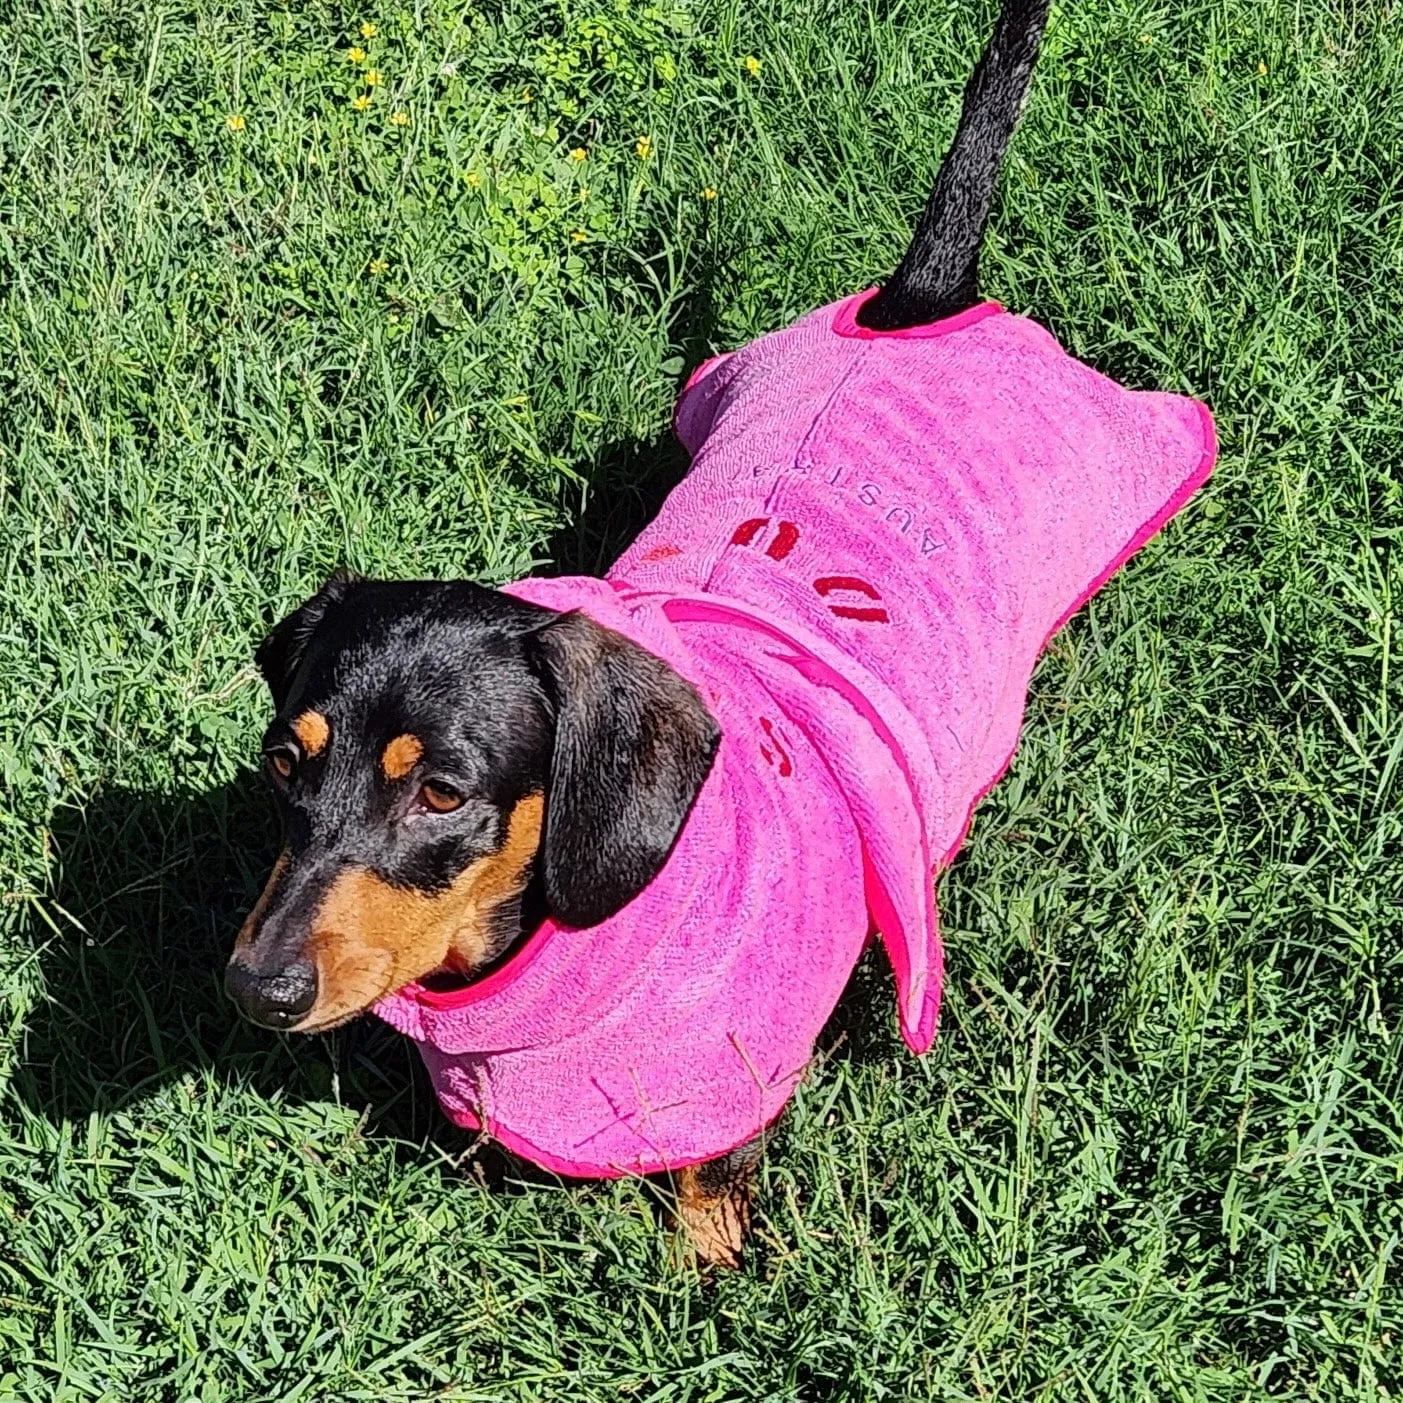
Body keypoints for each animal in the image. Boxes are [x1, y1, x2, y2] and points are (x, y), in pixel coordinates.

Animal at [224, 0, 1212, 1273]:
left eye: (441, 792)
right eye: (281, 761)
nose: (255, 989)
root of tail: (915, 307)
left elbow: (707, 1186)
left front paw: (706, 1269)